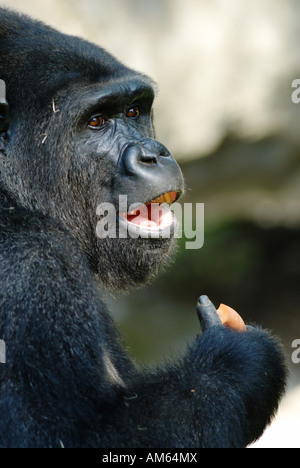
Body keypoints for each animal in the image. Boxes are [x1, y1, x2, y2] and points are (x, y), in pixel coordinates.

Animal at [0, 9, 288, 448]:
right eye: (96, 121)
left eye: (134, 111)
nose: (154, 153)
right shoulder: (27, 266)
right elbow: (59, 436)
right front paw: (238, 365)